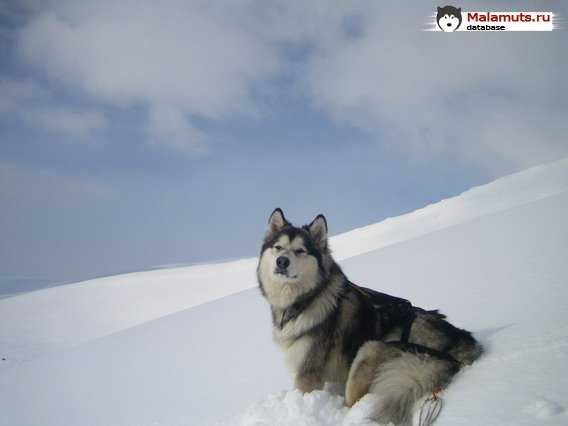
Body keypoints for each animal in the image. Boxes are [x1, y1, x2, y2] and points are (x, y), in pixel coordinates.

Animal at [258, 208, 484, 424]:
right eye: (278, 247)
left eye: (300, 251)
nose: (282, 261)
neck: (308, 298)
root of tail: (457, 351)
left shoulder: (308, 373)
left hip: (370, 349)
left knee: (353, 403)